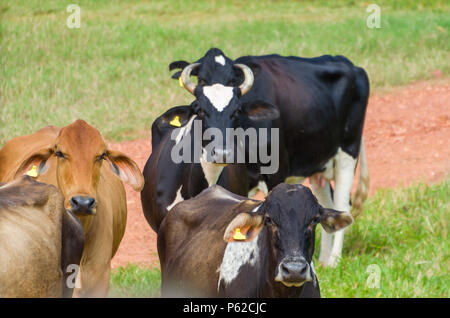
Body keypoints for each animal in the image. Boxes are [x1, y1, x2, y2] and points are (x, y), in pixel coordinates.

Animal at [169, 47, 370, 266]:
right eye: (202, 80)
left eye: (233, 80)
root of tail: (348, 63)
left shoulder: (277, 171)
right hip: (318, 164)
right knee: (328, 204)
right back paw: (324, 260)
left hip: (347, 152)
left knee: (342, 204)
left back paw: (334, 259)